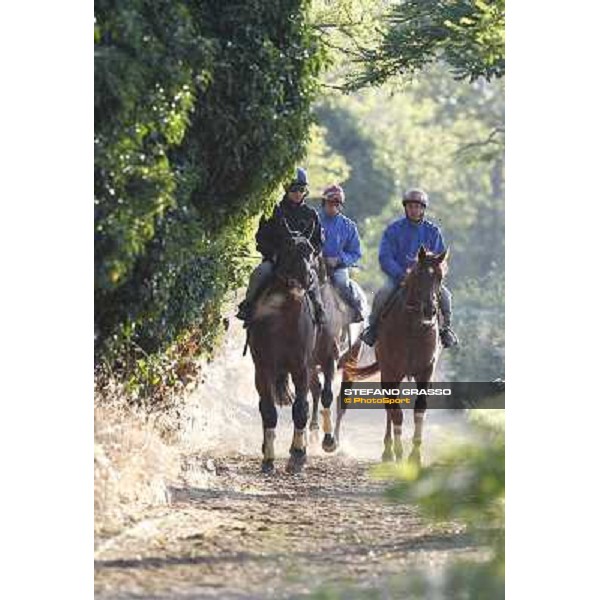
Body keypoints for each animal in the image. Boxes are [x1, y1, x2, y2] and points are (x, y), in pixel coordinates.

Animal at [248, 234, 318, 474]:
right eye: (288, 251)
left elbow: (301, 409)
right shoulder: (263, 369)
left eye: (311, 250)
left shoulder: (302, 369)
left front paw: (297, 456)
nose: (307, 278)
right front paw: (268, 460)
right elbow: (268, 411)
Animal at [340, 246, 448, 466]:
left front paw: (415, 455)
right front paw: (398, 452)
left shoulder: (426, 372)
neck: (414, 328)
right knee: (389, 408)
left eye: (440, 277)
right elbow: (396, 412)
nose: (430, 310)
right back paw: (388, 451)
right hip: (387, 374)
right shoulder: (391, 371)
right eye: (419, 274)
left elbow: (420, 409)